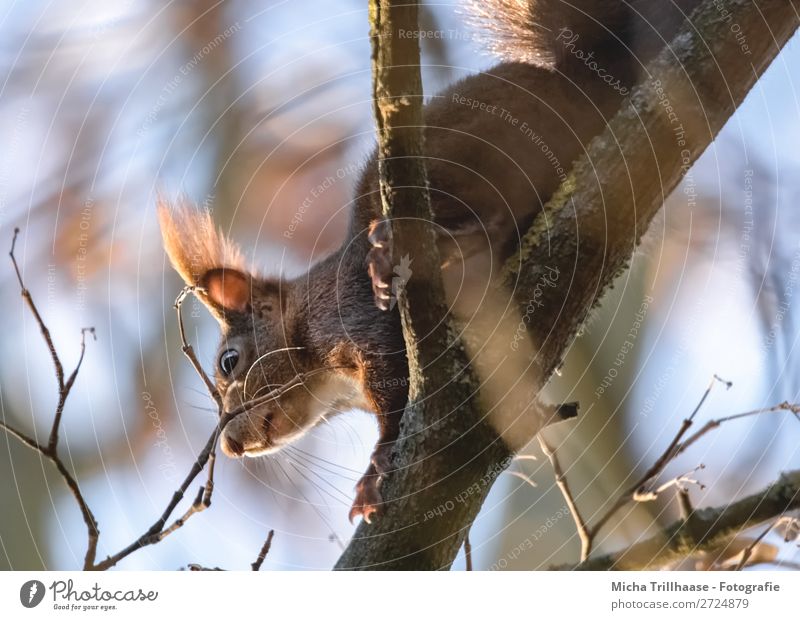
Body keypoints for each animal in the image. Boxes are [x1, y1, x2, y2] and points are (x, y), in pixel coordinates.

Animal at [159, 0, 704, 524]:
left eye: (229, 361)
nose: (232, 446)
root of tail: (593, 79)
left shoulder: (355, 318)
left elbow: (394, 395)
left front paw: (375, 471)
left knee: (487, 219)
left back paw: (439, 250)